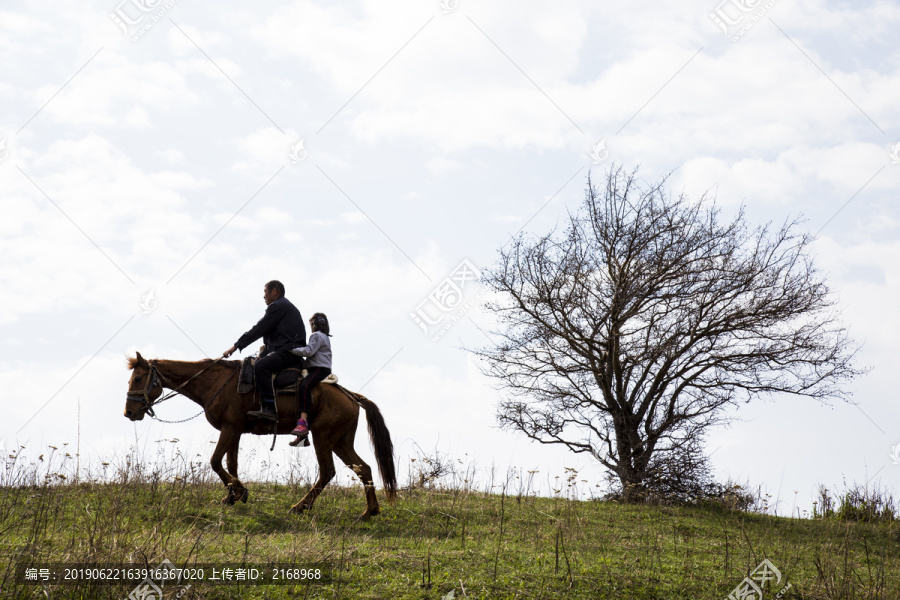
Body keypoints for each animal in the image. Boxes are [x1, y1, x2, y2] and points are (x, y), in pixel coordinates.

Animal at [123, 354, 398, 516]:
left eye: (138, 378)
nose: (129, 412)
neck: (215, 383)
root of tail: (350, 396)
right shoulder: (234, 431)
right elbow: (230, 463)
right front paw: (232, 496)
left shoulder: (229, 429)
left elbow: (215, 462)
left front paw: (240, 492)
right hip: (340, 442)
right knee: (364, 469)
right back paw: (370, 512)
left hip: (323, 439)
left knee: (327, 472)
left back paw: (301, 506)